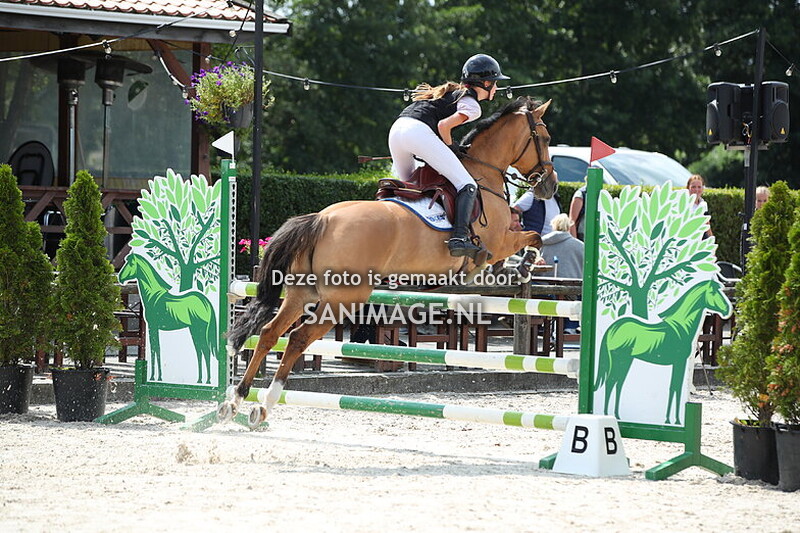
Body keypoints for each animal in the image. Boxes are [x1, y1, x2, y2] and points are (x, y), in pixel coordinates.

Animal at [118, 253, 218, 384]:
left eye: (130, 263)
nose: (120, 278)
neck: (152, 295)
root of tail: (206, 303)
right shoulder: (153, 328)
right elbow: (156, 349)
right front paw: (157, 377)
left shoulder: (153, 326)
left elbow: (156, 349)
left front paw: (155, 377)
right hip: (194, 330)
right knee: (199, 351)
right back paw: (200, 380)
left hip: (199, 329)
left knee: (205, 350)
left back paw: (208, 380)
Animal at [219, 96, 559, 427]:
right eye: (544, 138)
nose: (551, 185)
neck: (483, 175)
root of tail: (321, 219)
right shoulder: (499, 242)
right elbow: (534, 237)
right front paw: (525, 265)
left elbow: (531, 238)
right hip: (343, 299)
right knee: (297, 338)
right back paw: (265, 404)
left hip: (302, 294)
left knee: (269, 333)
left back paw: (235, 401)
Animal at [593, 279, 732, 425]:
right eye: (713, 292)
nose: (727, 310)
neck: (682, 327)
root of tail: (612, 329)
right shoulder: (679, 362)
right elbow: (675, 388)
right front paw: (674, 420)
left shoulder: (678, 364)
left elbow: (674, 387)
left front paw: (670, 419)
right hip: (620, 360)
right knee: (610, 382)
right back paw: (607, 415)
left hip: (626, 361)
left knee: (618, 383)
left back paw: (616, 415)